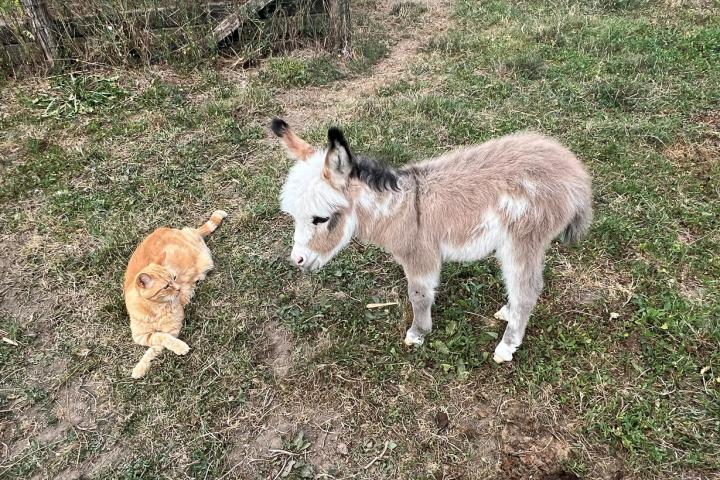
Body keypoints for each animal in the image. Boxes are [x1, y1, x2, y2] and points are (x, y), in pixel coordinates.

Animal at [123, 210, 225, 378]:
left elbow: (159, 344)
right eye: (166, 286)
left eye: (174, 278)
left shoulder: (172, 330)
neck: (155, 309)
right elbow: (158, 338)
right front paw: (139, 369)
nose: (179, 289)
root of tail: (182, 232)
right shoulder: (141, 336)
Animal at [270, 118, 592, 362]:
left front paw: (417, 334)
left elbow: (419, 295)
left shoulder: (420, 255)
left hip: (524, 238)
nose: (297, 260)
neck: (400, 209)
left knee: (527, 289)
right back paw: (507, 313)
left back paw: (506, 346)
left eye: (320, 219)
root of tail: (576, 175)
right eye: (294, 216)